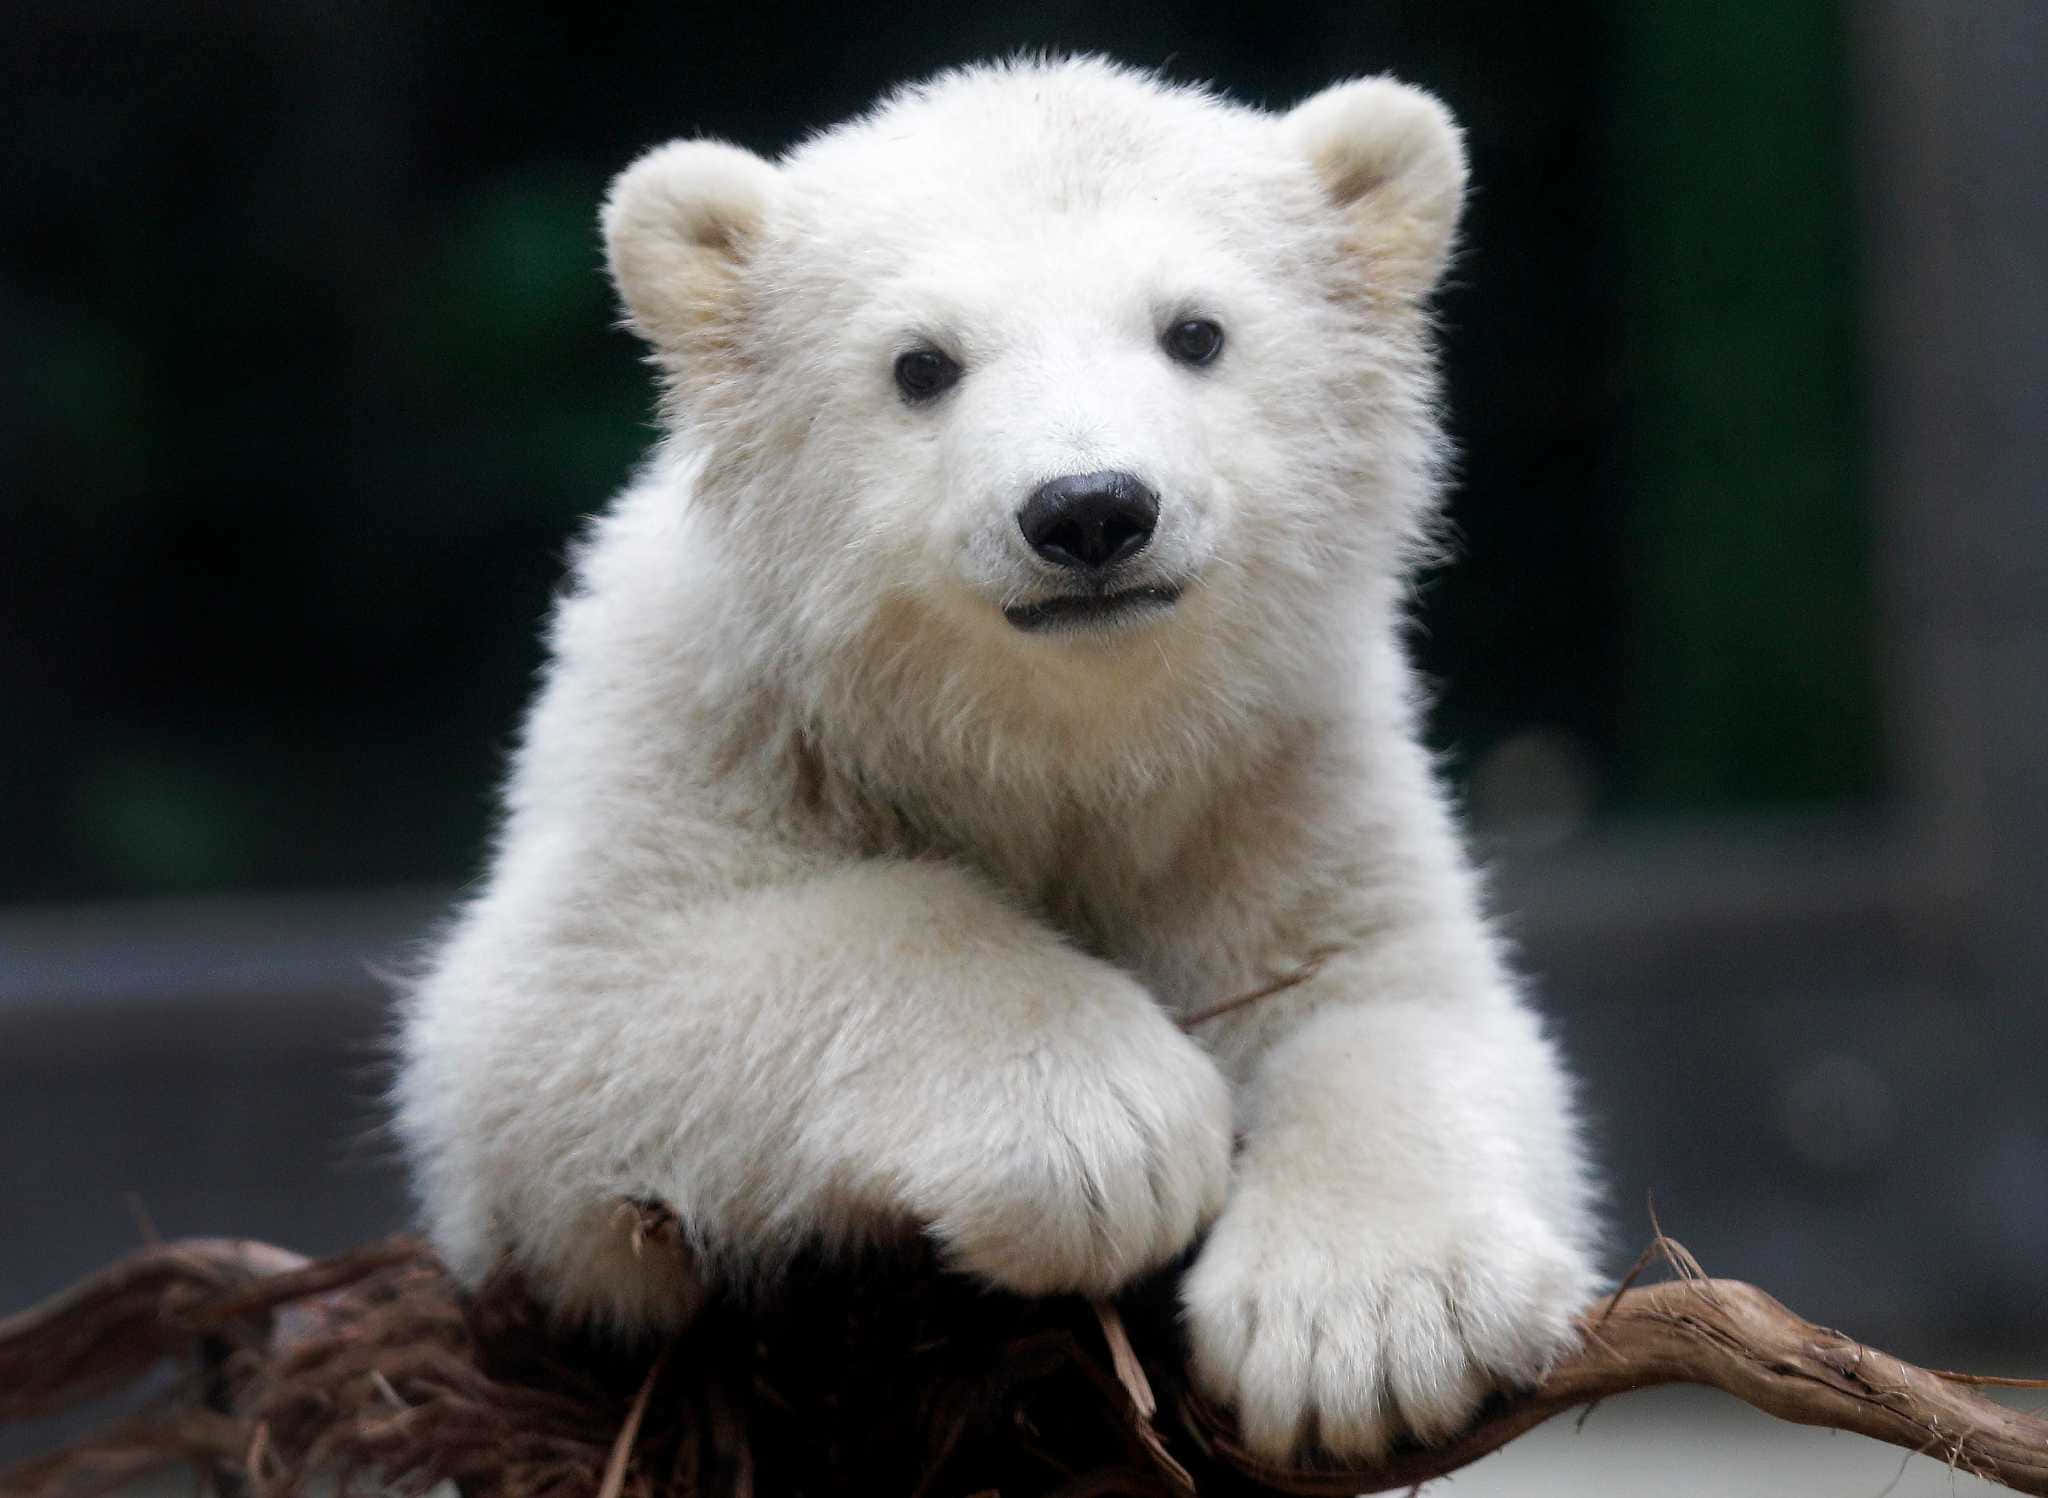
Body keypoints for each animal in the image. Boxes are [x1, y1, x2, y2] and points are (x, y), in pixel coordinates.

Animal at [393, 56, 1600, 1463]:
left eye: (1195, 332)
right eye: (920, 364)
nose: (1088, 509)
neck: (1042, 737)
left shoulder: (1279, 768)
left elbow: (1392, 993)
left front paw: (1380, 1321)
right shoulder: (699, 728)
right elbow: (560, 1015)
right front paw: (1112, 1136)